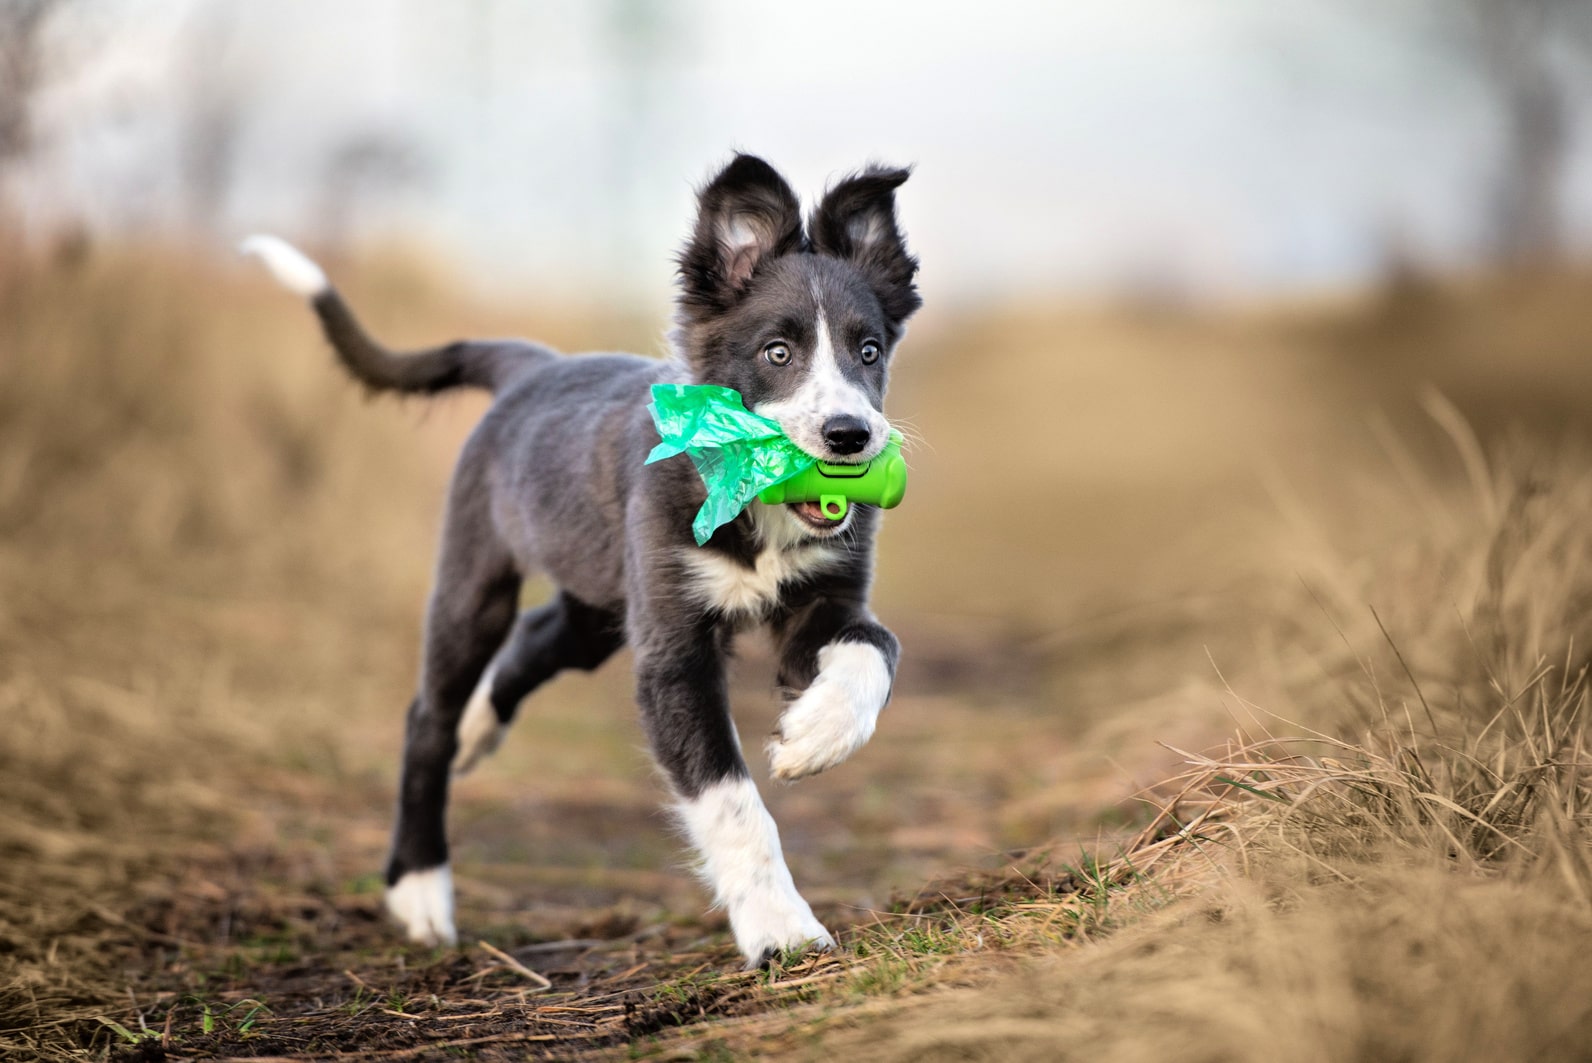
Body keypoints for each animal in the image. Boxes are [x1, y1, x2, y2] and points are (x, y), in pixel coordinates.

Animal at [243, 153, 929, 967]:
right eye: (777, 352)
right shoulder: (672, 653)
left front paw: (813, 737)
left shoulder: (825, 602)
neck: (751, 501)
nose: (850, 436)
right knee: (428, 717)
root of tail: (533, 367)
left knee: (536, 640)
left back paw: (478, 731)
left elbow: (875, 648)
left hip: (598, 603)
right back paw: (419, 887)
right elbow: (730, 801)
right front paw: (781, 931)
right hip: (476, 581)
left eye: (869, 351)